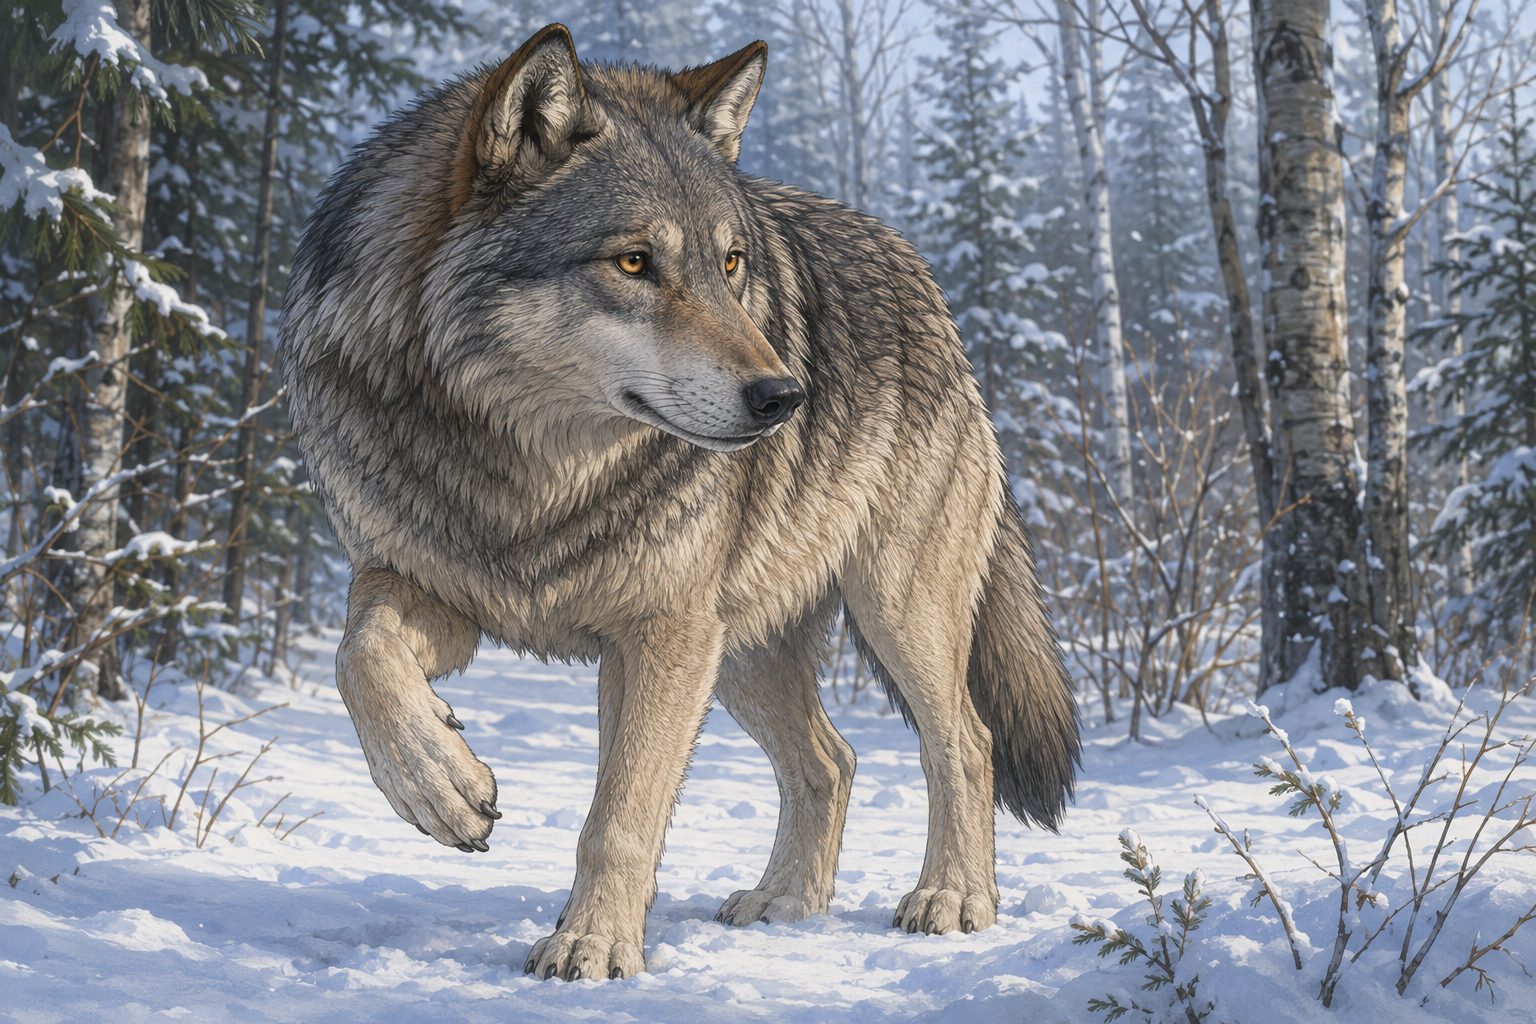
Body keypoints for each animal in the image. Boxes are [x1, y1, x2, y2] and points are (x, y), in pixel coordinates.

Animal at [282, 24, 1080, 981]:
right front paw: (442, 785)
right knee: (833, 759)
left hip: (888, 612)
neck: (527, 471)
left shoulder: (661, 633)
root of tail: (919, 275)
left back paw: (954, 898)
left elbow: (620, 818)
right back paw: (785, 904)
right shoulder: (435, 586)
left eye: (731, 264)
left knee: (964, 740)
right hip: (741, 648)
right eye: (635, 262)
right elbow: (358, 654)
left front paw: (591, 945)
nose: (785, 397)